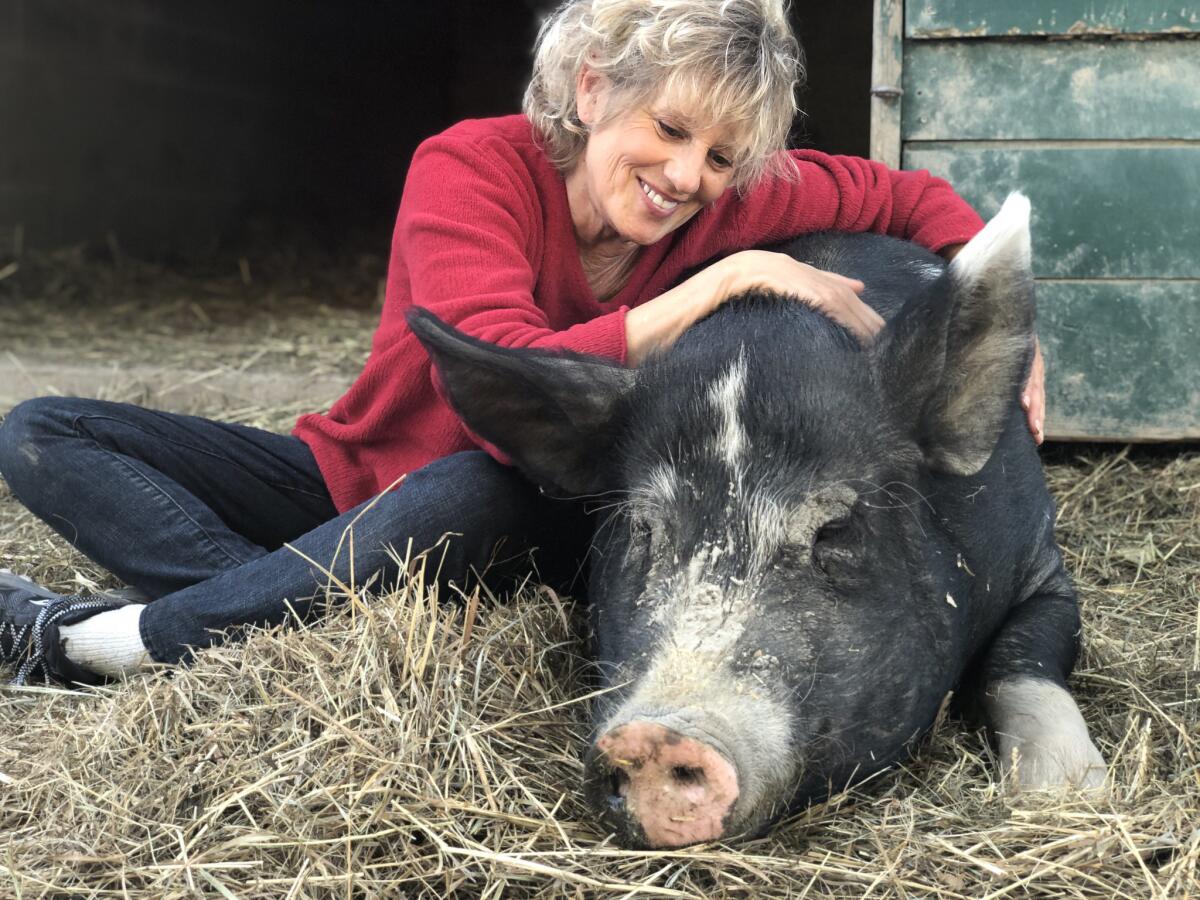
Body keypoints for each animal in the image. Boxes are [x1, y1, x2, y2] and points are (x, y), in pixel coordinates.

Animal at [410, 194, 1104, 849]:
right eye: (642, 526)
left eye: (836, 529)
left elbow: (1022, 661)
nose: (657, 736)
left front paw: (1068, 789)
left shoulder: (1042, 566)